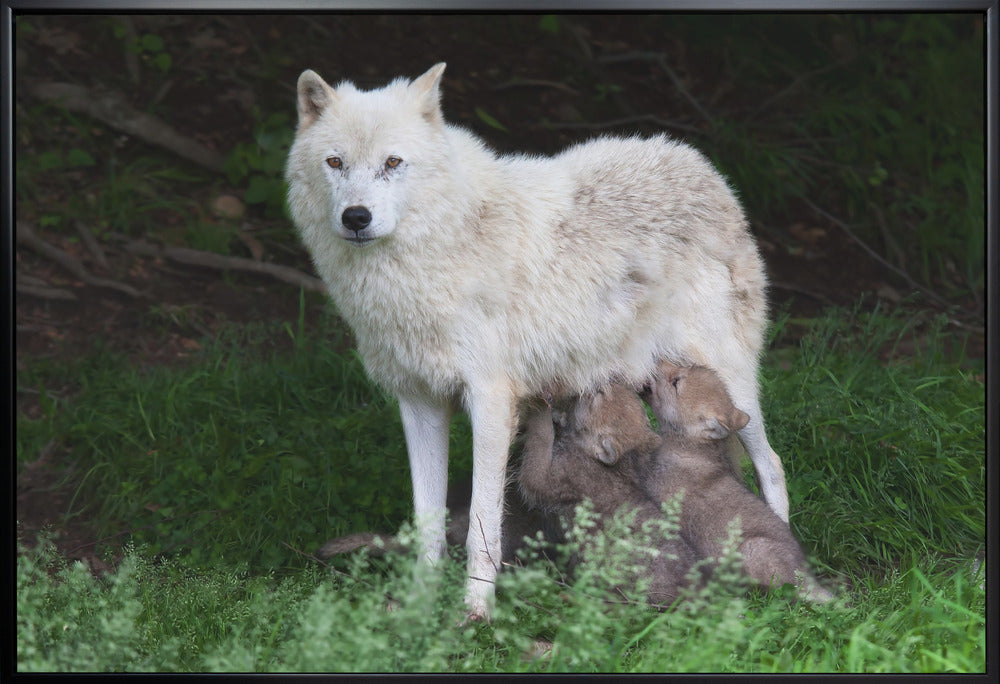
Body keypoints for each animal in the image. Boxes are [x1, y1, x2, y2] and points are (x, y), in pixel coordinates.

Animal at [285, 62, 786, 618]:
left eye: (393, 162)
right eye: (335, 162)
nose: (356, 217)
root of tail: (700, 166)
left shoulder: (490, 402)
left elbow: (482, 524)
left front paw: (475, 613)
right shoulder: (419, 402)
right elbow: (427, 524)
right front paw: (420, 608)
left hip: (732, 386)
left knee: (772, 464)